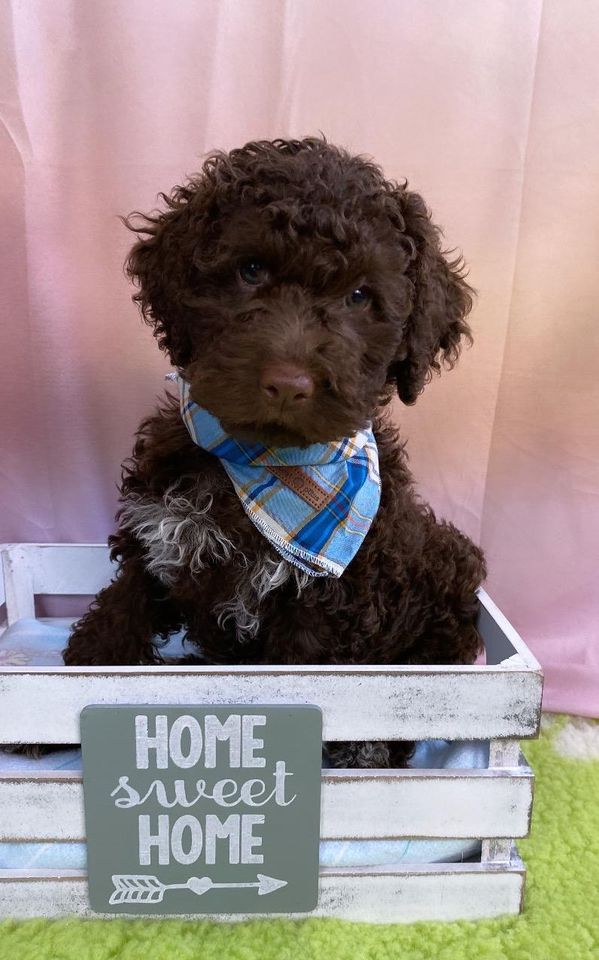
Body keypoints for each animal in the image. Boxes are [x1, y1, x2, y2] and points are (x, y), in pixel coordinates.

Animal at [64, 137, 488, 764]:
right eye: (250, 270)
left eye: (359, 297)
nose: (288, 384)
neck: (265, 467)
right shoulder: (156, 535)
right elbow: (122, 609)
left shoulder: (323, 614)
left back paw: (372, 750)